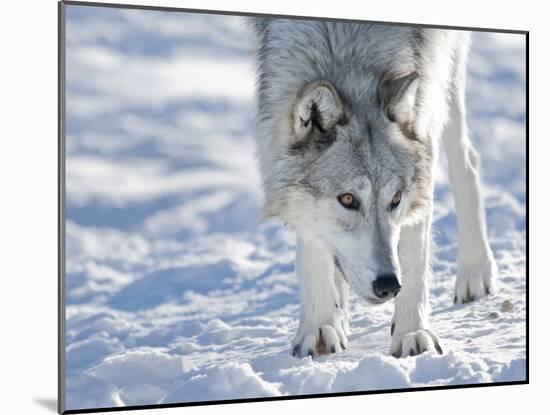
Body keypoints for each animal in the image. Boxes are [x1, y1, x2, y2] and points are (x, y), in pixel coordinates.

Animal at [253, 17, 500, 360]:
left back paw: (475, 272)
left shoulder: (428, 89)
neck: (346, 47)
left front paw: (412, 334)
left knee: (467, 162)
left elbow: (414, 250)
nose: (388, 285)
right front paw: (320, 325)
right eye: (347, 199)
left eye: (395, 199)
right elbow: (312, 241)